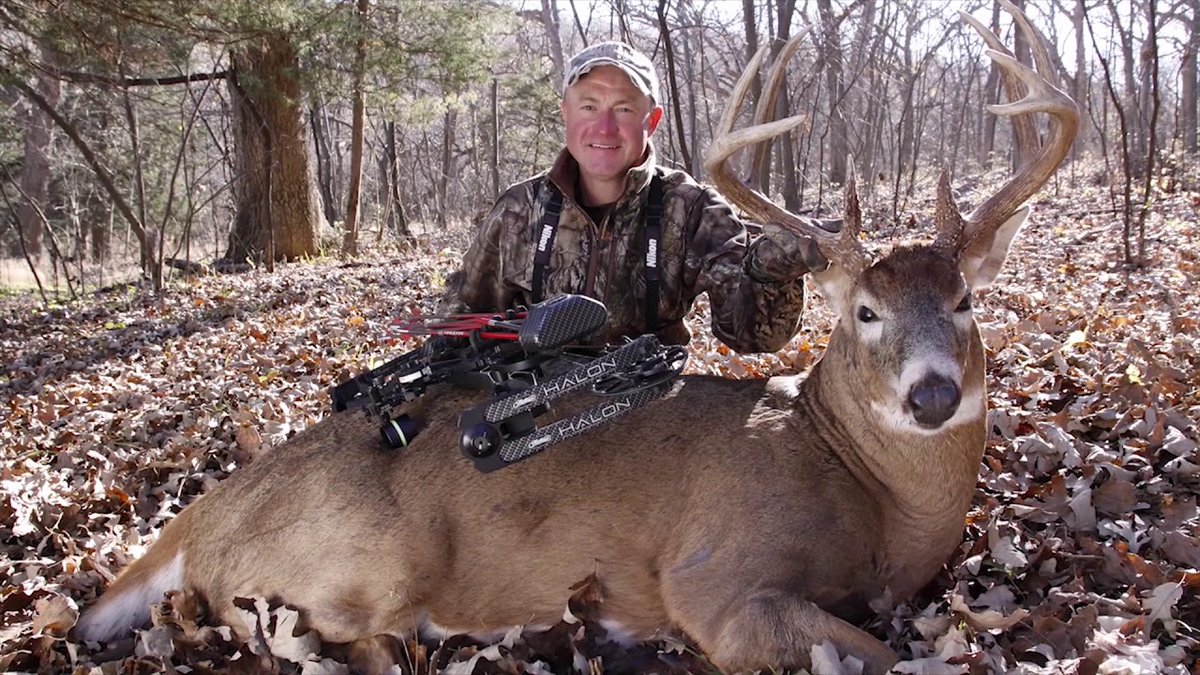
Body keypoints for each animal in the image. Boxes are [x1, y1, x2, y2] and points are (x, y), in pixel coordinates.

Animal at [74, 5, 1077, 673]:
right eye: (863, 311)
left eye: (964, 300)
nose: (933, 392)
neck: (869, 497)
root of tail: (199, 516)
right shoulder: (714, 578)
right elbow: (868, 649)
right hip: (363, 560)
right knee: (325, 633)